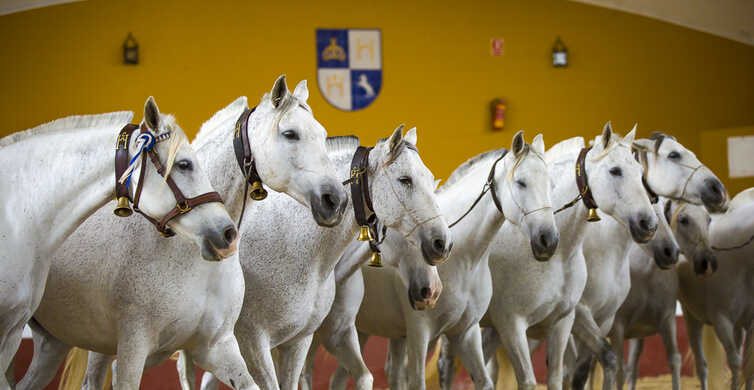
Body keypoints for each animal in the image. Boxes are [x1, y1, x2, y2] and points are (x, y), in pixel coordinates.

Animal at [195, 125, 452, 390]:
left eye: (429, 179)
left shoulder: (315, 338)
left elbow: (359, 376)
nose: (442, 244)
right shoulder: (253, 342)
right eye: (405, 180)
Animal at [344, 132, 556, 390]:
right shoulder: (419, 333)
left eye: (550, 184)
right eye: (521, 183)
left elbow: (484, 381)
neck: (465, 259)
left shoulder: (466, 332)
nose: (549, 239)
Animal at [564, 132, 728, 390]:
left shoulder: (655, 320)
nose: (718, 189)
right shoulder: (605, 323)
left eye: (709, 220)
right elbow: (614, 370)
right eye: (674, 154)